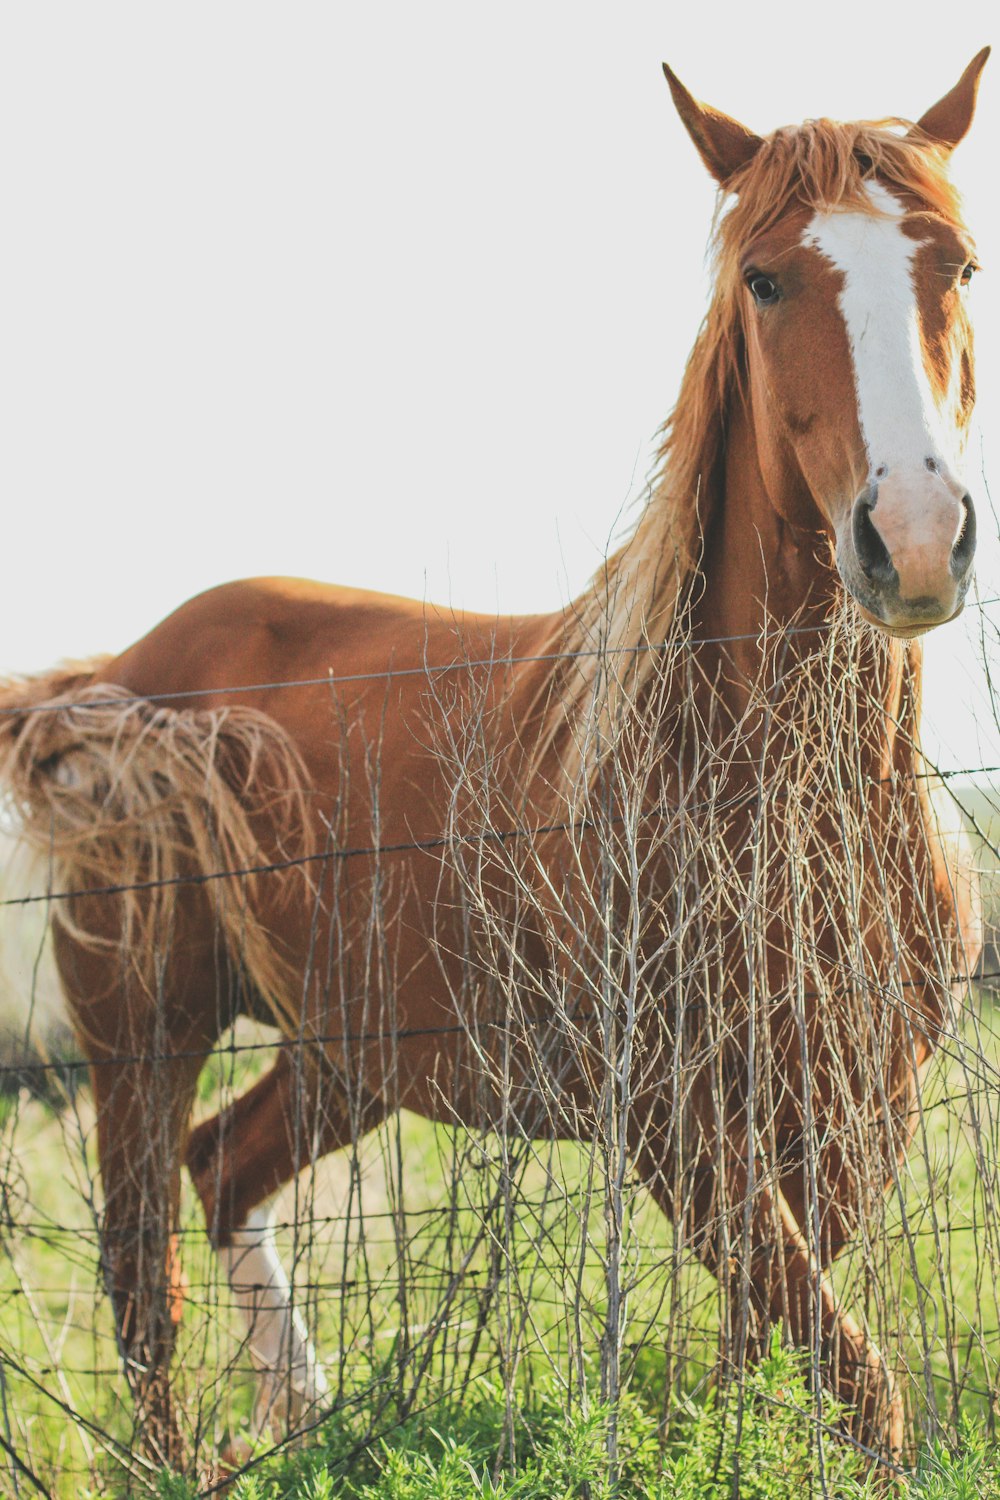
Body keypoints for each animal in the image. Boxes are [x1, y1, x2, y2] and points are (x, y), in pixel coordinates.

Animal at [0, 52, 989, 1470]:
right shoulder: (678, 1126)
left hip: (346, 1048)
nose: (910, 540)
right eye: (763, 280)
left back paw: (303, 1416)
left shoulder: (854, 1116)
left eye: (956, 264)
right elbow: (861, 1387)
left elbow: (776, 1367)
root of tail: (113, 679)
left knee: (224, 1169)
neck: (791, 808)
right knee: (144, 1289)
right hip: (143, 1037)